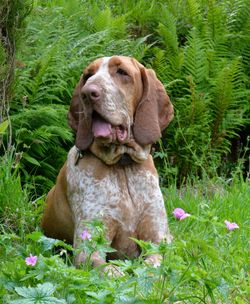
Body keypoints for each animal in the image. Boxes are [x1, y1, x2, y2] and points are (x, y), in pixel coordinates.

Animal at [41, 55, 174, 270]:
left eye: (122, 72)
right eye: (88, 75)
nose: (88, 93)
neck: (123, 166)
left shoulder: (159, 241)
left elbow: (152, 265)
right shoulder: (88, 249)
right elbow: (110, 269)